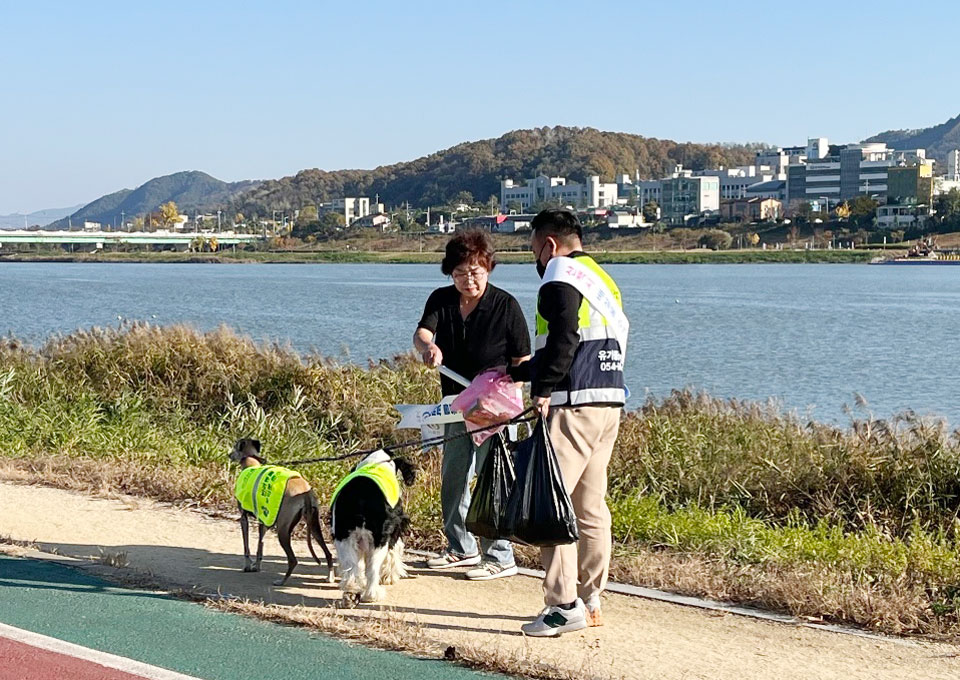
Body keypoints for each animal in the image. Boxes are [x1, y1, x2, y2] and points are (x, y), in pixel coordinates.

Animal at [328, 452, 414, 604]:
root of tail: (361, 497)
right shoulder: (394, 527)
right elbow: (395, 550)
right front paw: (389, 577)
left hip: (342, 537)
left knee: (351, 566)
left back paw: (352, 589)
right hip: (379, 540)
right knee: (373, 569)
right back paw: (372, 595)